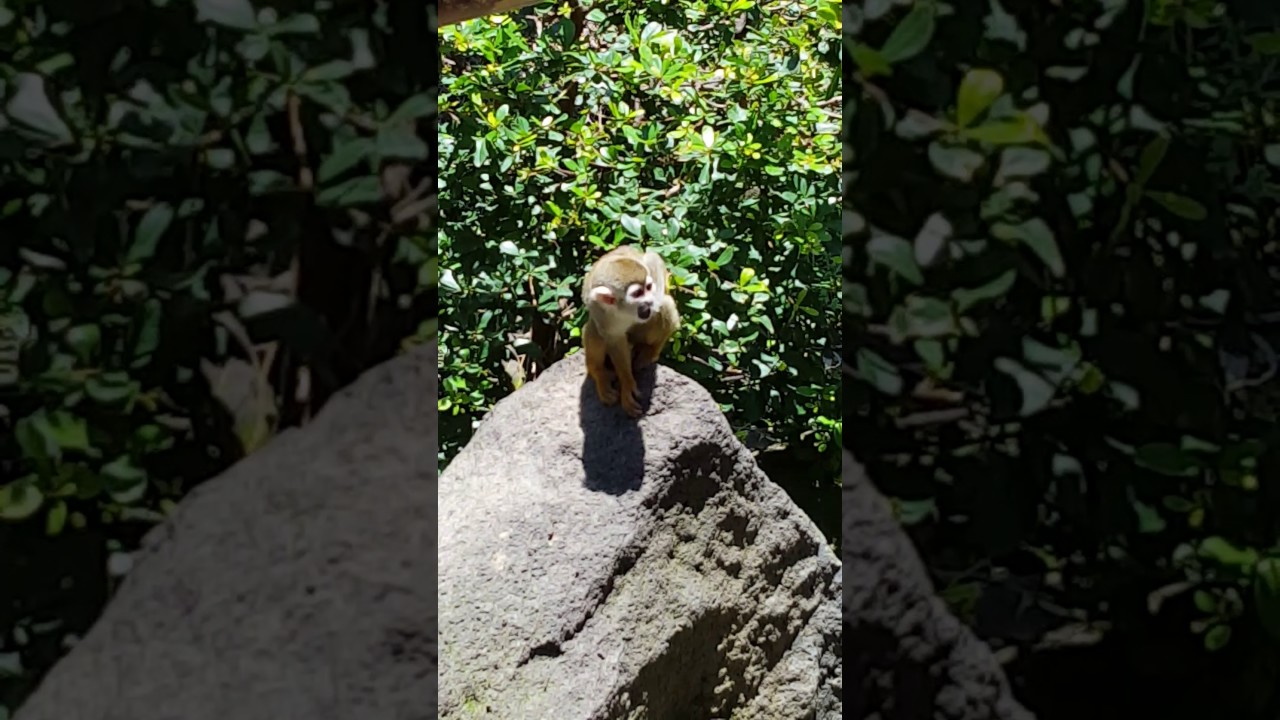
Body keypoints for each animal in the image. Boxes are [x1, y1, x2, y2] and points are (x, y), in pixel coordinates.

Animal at [581, 246, 680, 417]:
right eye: (637, 293)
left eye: (648, 287)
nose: (650, 300)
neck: (625, 311)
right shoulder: (597, 306)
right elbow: (614, 339)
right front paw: (627, 382)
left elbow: (655, 263)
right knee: (596, 328)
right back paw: (598, 372)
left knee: (664, 305)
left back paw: (649, 351)